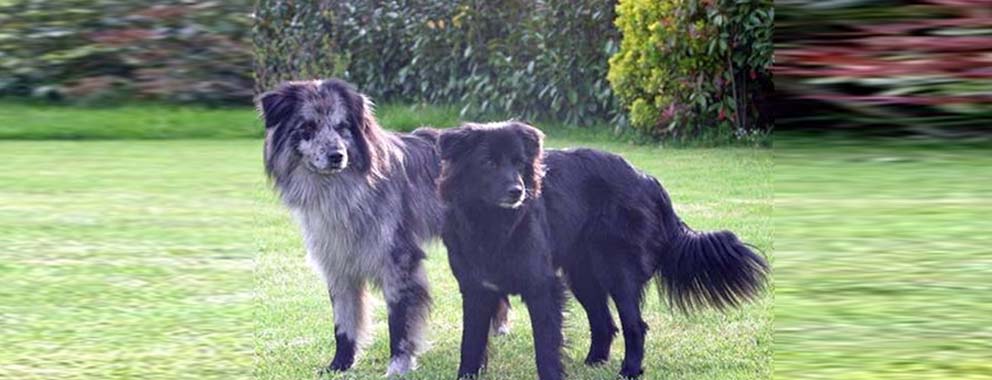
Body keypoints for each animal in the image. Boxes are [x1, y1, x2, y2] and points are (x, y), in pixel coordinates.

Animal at [260, 78, 508, 376]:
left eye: (342, 126)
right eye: (308, 127)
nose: (336, 155)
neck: (348, 190)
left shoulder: (399, 262)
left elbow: (398, 322)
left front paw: (398, 367)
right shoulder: (338, 264)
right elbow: (344, 322)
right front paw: (340, 365)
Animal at [438, 121, 772, 378]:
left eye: (519, 163)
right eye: (488, 163)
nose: (517, 191)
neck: (492, 223)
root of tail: (646, 178)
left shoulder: (541, 286)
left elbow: (546, 345)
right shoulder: (476, 288)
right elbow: (470, 342)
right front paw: (467, 375)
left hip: (617, 271)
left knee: (635, 325)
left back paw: (630, 370)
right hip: (583, 274)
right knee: (604, 323)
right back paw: (594, 362)